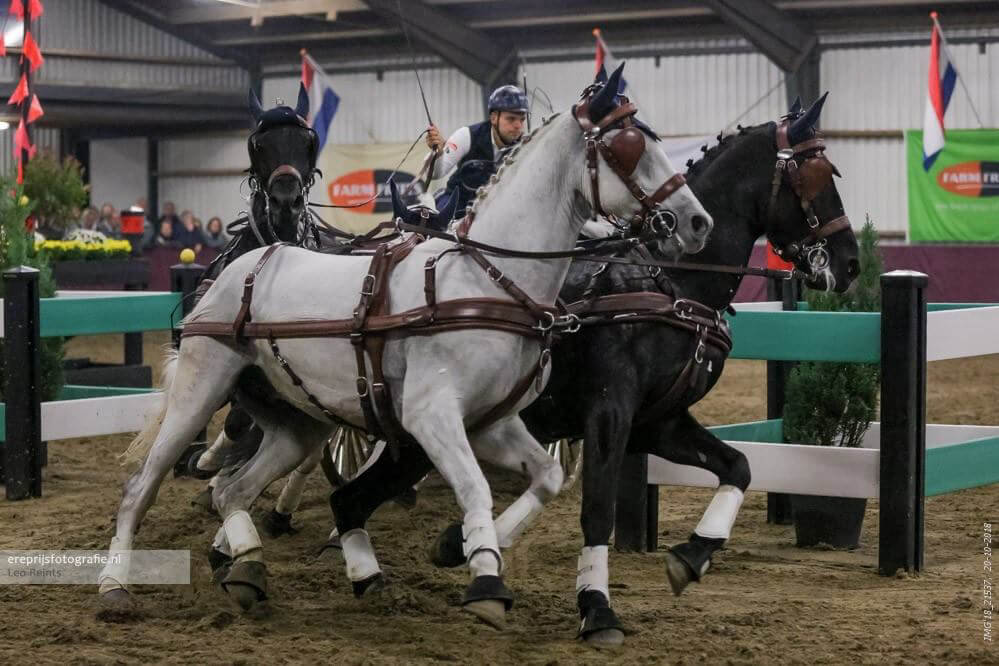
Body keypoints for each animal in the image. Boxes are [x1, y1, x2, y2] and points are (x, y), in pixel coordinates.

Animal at [96, 65, 713, 630]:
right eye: (628, 148)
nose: (695, 222)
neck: (488, 281)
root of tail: (247, 262)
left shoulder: (493, 422)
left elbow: (545, 478)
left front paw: (467, 550)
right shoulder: (431, 416)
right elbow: (474, 488)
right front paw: (484, 578)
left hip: (298, 424)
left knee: (233, 489)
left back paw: (252, 564)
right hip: (200, 391)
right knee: (142, 486)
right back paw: (115, 587)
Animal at [322, 94, 860, 645]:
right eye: (817, 175)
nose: (851, 262)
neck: (671, 285)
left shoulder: (657, 422)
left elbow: (739, 466)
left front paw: (693, 555)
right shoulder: (610, 412)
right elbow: (598, 510)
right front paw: (596, 607)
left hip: (415, 437)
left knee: (352, 499)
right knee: (352, 490)